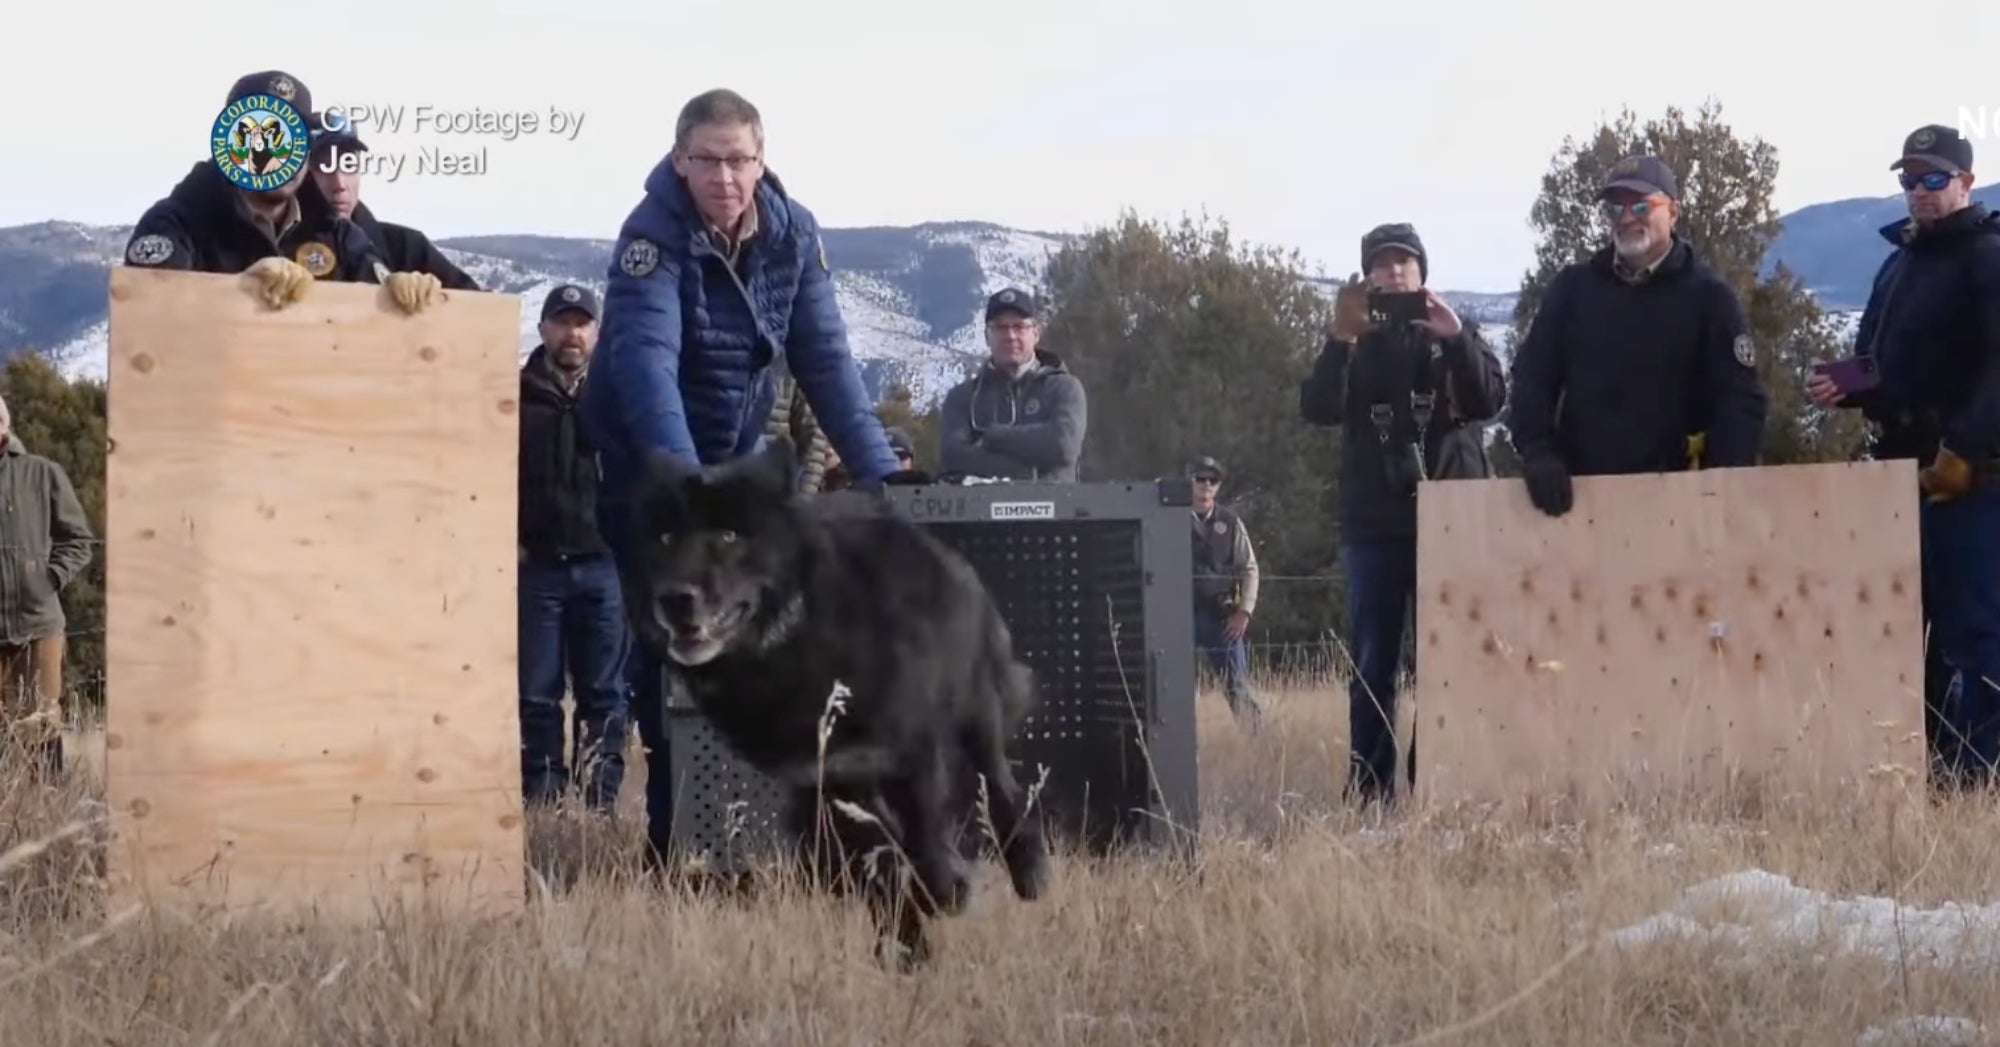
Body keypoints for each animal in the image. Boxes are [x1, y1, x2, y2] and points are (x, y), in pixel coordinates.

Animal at [617, 441, 1053, 968]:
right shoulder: (830, 780)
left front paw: (945, 893)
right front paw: (910, 938)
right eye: (664, 538)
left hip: (975, 713)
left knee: (1002, 785)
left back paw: (1028, 870)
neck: (799, 638)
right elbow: (884, 868)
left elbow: (924, 840)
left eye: (727, 535)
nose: (675, 598)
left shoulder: (913, 752)